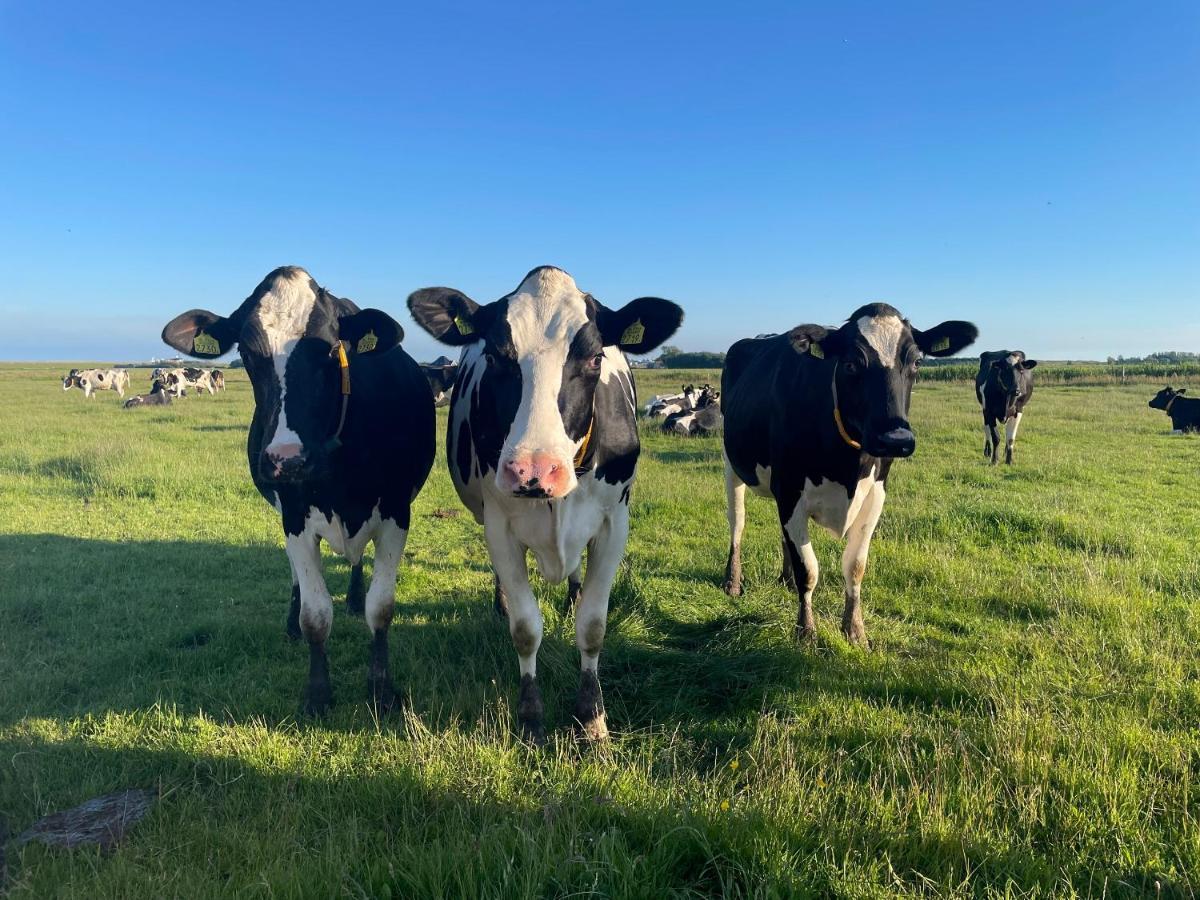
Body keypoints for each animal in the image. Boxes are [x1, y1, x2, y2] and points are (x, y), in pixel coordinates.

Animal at [160, 264, 436, 715]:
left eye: (329, 350)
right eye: (247, 354)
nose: (286, 459)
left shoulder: (397, 512)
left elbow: (381, 607)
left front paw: (380, 689)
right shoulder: (294, 516)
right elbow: (315, 615)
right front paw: (318, 693)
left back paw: (353, 599)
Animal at [408, 264, 681, 744]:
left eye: (595, 358)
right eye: (495, 356)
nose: (533, 470)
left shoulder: (614, 524)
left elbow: (592, 627)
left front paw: (591, 718)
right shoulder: (499, 525)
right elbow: (525, 628)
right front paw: (531, 717)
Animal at [720, 307, 974, 643]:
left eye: (917, 362)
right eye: (851, 363)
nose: (896, 439)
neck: (847, 464)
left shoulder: (875, 494)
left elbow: (855, 566)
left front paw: (855, 631)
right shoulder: (789, 489)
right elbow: (809, 569)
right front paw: (806, 631)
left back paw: (785, 580)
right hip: (731, 464)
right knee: (737, 521)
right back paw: (733, 581)